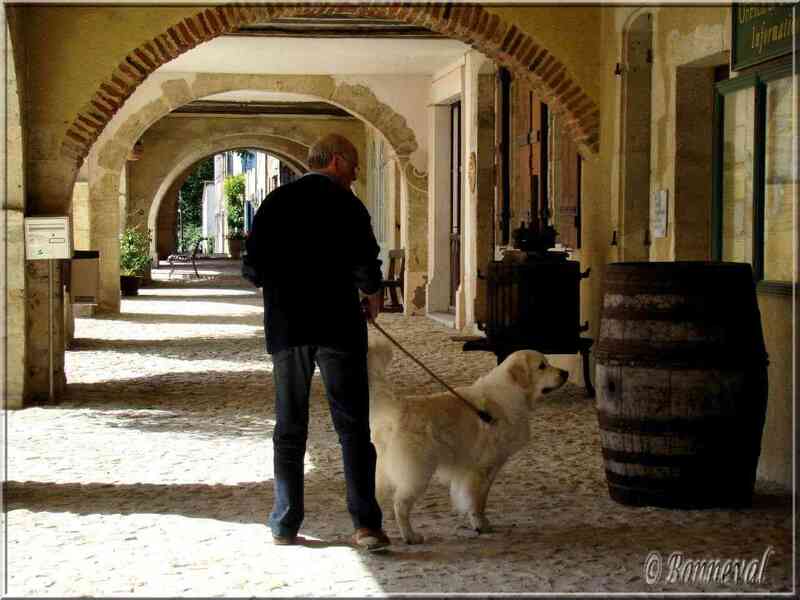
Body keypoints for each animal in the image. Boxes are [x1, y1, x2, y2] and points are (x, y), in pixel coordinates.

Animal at [368, 338, 568, 544]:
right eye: (542, 366)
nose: (565, 373)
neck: (510, 392)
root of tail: (398, 408)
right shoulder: (482, 467)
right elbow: (477, 500)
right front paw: (480, 524)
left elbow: (477, 497)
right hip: (417, 473)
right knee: (400, 504)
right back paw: (410, 536)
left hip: (384, 471)